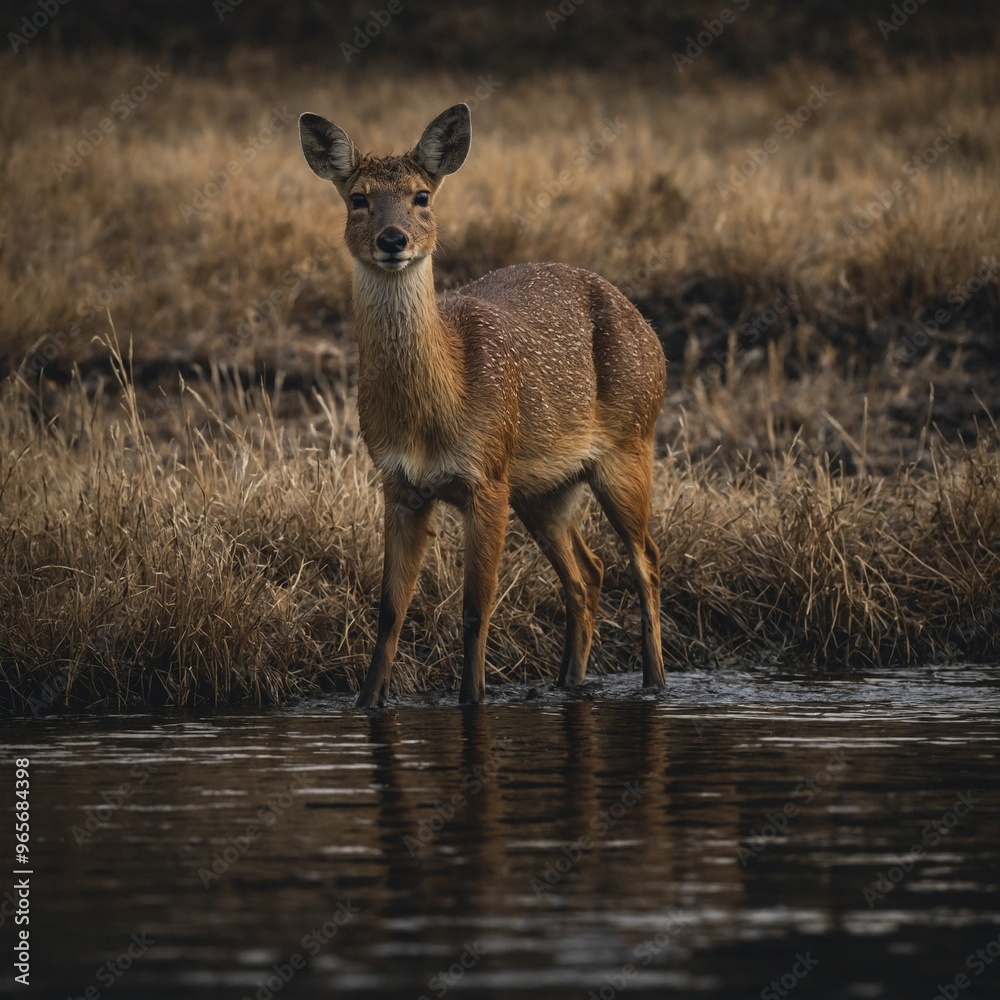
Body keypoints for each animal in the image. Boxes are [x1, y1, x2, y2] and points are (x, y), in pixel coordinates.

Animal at [298, 103, 667, 708]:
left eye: (422, 195)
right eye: (358, 198)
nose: (393, 239)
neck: (438, 408)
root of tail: (650, 333)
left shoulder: (486, 478)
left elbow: (475, 608)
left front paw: (472, 699)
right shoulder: (399, 484)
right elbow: (390, 610)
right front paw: (368, 701)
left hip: (628, 449)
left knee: (646, 561)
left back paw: (654, 684)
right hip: (545, 490)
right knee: (587, 575)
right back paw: (569, 682)